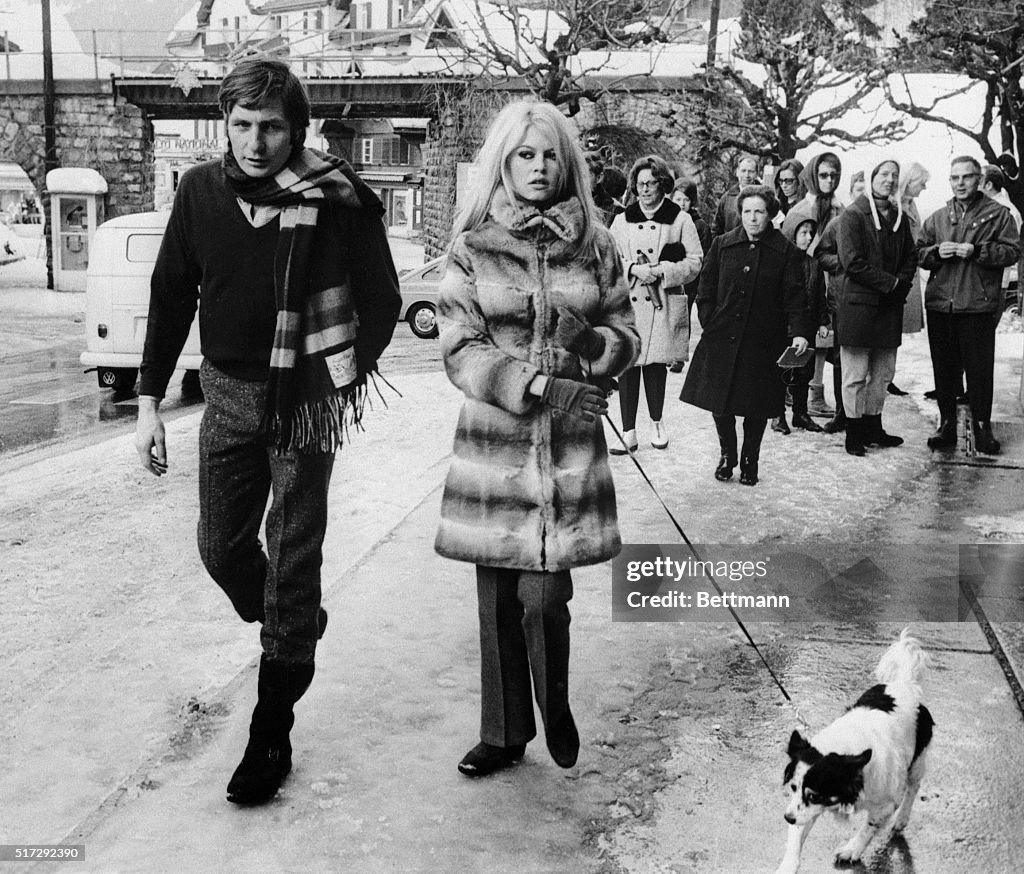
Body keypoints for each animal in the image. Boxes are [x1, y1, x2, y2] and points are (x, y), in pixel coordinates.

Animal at [774, 630, 937, 874]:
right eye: (792, 787)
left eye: (814, 795)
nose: (787, 818)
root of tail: (903, 684)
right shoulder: (804, 810)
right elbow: (795, 840)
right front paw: (787, 866)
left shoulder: (884, 805)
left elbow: (868, 827)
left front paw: (852, 850)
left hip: (917, 760)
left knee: (912, 788)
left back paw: (901, 819)